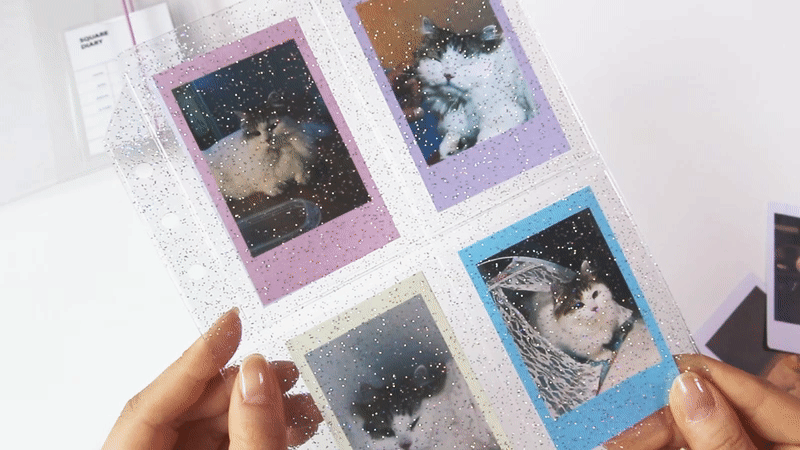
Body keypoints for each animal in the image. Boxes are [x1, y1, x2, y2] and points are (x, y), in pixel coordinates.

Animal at [413, 18, 536, 160]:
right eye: (437, 60)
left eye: (466, 64)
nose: (448, 75)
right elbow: (451, 136)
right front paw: (451, 147)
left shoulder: (505, 115)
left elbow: (483, 139)